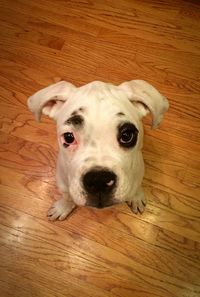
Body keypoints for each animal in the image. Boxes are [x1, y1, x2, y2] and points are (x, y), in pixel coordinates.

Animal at [27, 80, 169, 219]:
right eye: (68, 138)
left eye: (127, 136)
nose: (99, 180)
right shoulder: (63, 184)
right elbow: (67, 197)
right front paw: (63, 207)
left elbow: (135, 186)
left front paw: (136, 196)